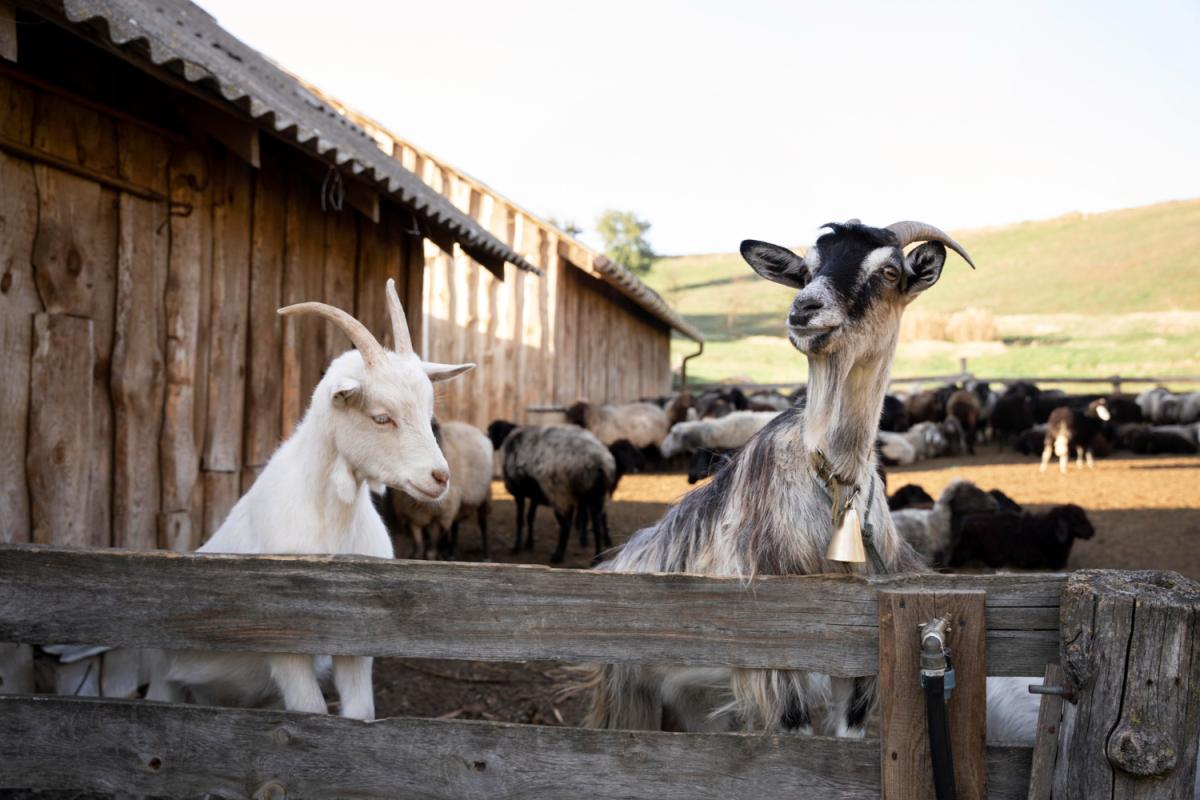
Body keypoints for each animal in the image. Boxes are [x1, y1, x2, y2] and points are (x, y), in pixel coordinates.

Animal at [146, 281, 472, 719]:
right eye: (381, 417)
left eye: (429, 410)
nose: (440, 477)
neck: (331, 523)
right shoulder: (284, 643)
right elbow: (311, 712)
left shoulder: (355, 643)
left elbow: (357, 714)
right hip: (162, 675)